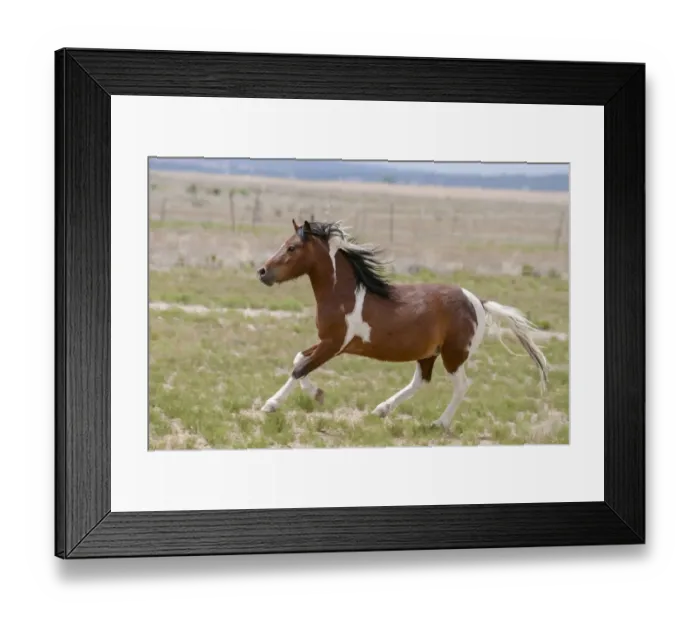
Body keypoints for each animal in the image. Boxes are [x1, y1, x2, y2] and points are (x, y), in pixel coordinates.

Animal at [255, 219, 549, 430]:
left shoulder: (334, 344)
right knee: (421, 380)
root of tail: (478, 301)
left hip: (453, 355)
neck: (345, 295)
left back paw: (439, 423)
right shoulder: (329, 342)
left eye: (292, 247)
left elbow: (300, 368)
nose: (262, 272)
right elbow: (298, 360)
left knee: (461, 385)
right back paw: (381, 409)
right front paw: (318, 394)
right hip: (429, 353)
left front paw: (270, 404)